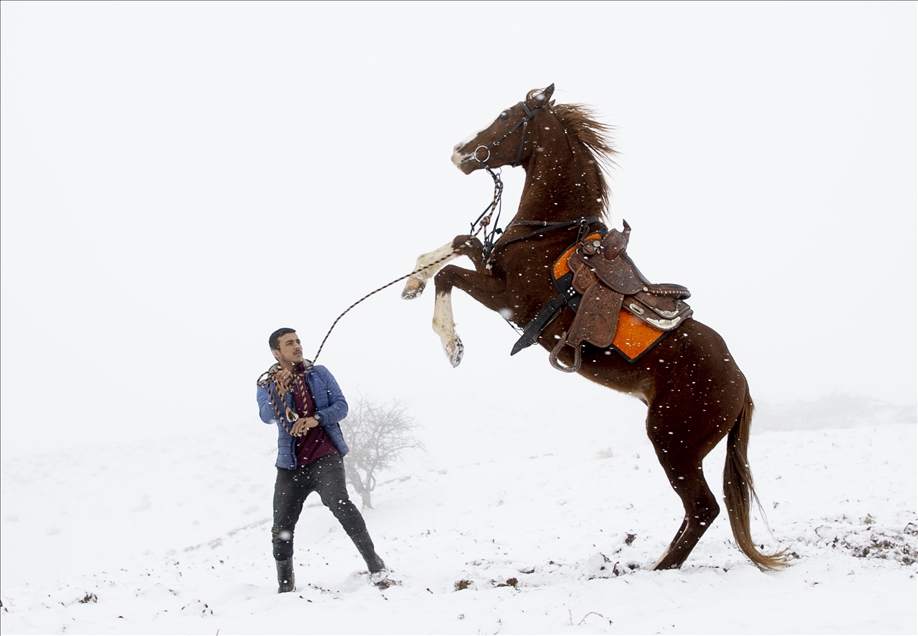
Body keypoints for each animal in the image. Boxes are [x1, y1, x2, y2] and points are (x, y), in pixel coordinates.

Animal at [406, 84, 788, 572]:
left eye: (506, 115)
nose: (459, 152)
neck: (549, 232)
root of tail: (739, 382)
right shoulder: (491, 265)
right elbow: (460, 243)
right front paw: (412, 282)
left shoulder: (506, 298)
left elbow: (450, 274)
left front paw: (450, 342)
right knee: (695, 512)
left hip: (673, 443)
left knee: (703, 508)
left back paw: (660, 569)